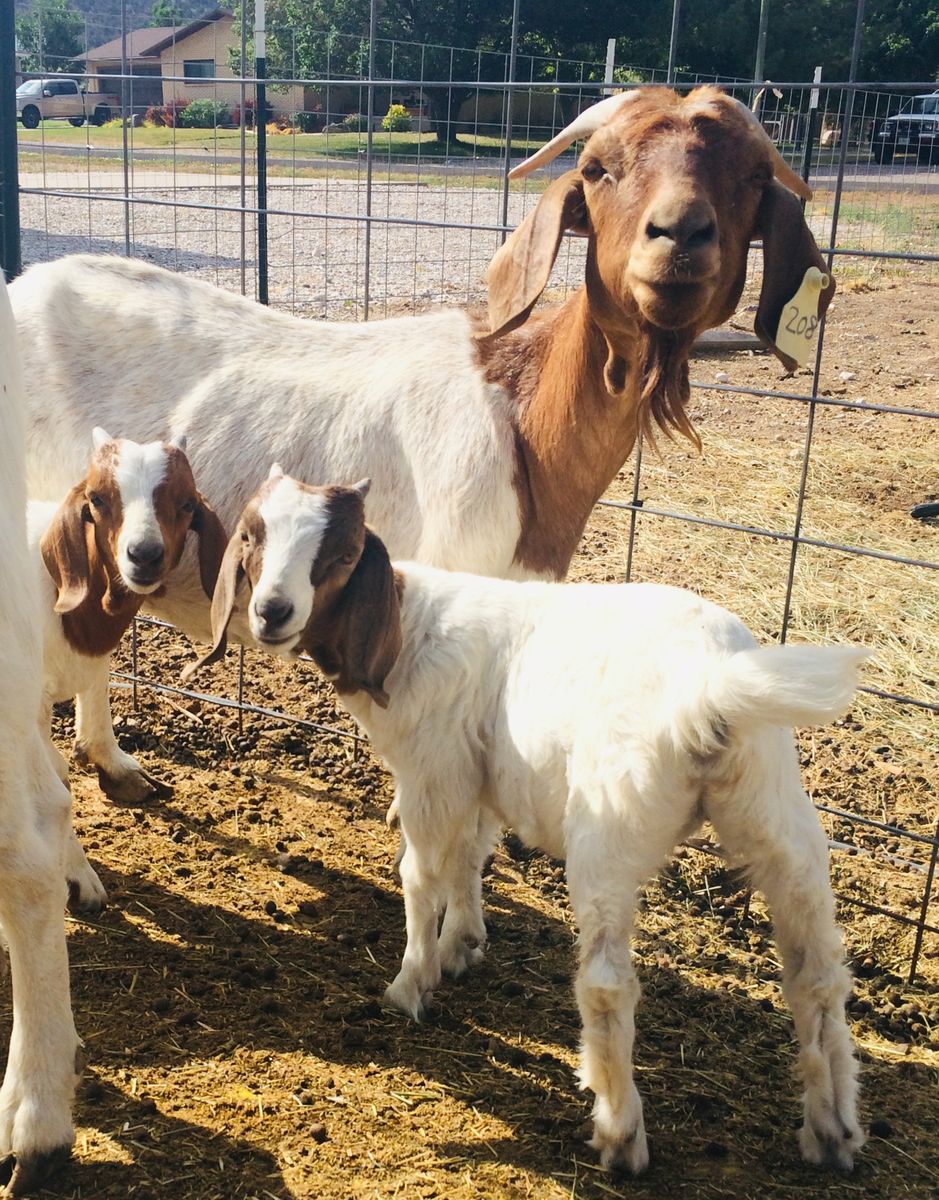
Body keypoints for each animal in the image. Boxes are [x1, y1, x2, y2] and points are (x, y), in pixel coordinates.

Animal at [189, 468, 867, 1175]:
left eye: (344, 555)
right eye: (252, 535)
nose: (271, 612)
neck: (410, 628)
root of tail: (709, 688)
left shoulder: (433, 771)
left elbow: (421, 877)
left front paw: (411, 983)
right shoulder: (478, 775)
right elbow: (470, 856)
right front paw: (462, 946)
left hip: (608, 832)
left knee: (608, 983)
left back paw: (620, 1132)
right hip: (776, 812)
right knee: (817, 976)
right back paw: (833, 1130)